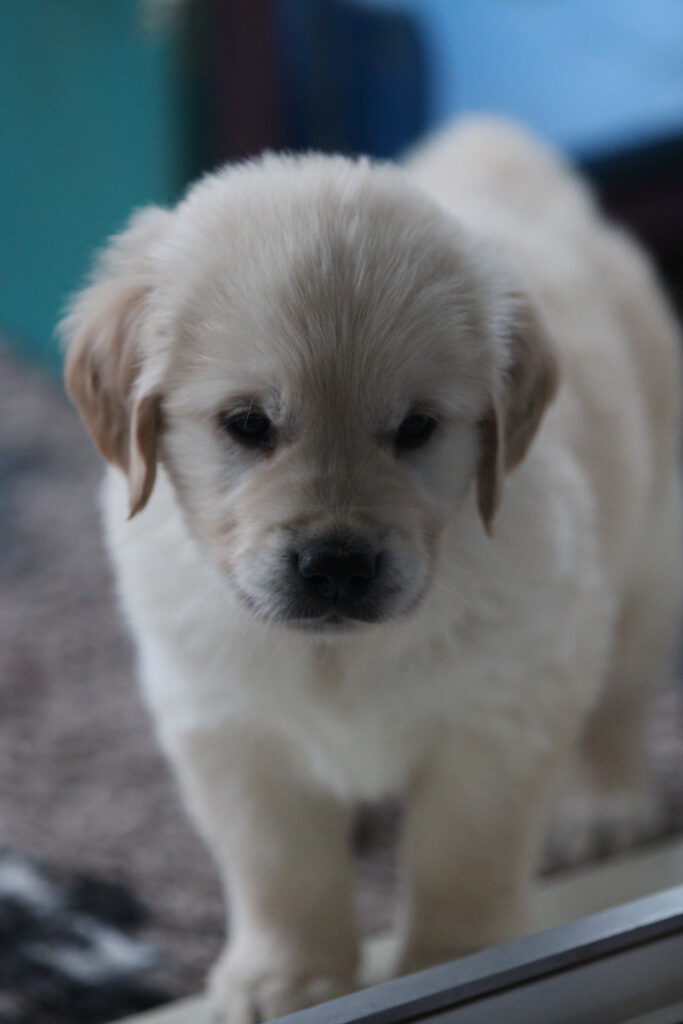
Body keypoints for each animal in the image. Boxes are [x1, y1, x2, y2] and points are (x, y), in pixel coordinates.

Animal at [61, 118, 683, 1022]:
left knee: (619, 702)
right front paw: (287, 979)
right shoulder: (225, 723)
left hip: (643, 573)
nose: (335, 565)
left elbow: (463, 849)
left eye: (416, 427)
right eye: (246, 424)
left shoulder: (506, 709)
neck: (338, 652)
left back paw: (609, 804)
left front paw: (453, 959)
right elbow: (277, 864)